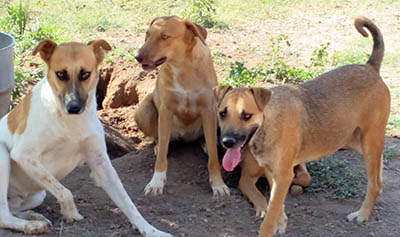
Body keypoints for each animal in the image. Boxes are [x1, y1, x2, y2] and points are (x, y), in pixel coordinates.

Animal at [0, 39, 170, 236]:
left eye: (85, 74)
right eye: (60, 74)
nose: (73, 108)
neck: (71, 123)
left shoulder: (101, 162)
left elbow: (128, 203)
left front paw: (150, 230)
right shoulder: (23, 155)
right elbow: (65, 191)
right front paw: (71, 212)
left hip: (37, 195)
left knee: (10, 209)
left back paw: (32, 216)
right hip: (3, 156)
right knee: (3, 215)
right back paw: (32, 225)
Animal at [134, 16, 228, 196]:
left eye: (164, 36)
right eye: (147, 34)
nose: (137, 56)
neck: (183, 66)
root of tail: (185, 137)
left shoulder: (208, 110)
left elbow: (213, 158)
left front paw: (218, 184)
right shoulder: (166, 110)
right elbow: (161, 156)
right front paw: (156, 182)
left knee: (207, 138)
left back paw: (205, 143)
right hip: (143, 111)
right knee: (160, 139)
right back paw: (159, 145)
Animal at [214, 16, 390, 235]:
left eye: (246, 115)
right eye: (222, 113)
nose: (227, 142)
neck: (268, 125)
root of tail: (369, 67)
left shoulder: (283, 175)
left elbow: (269, 216)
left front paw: (270, 228)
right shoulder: (274, 173)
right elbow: (275, 205)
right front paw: (281, 223)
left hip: (369, 143)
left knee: (375, 184)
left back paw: (362, 215)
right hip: (359, 142)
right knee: (379, 178)